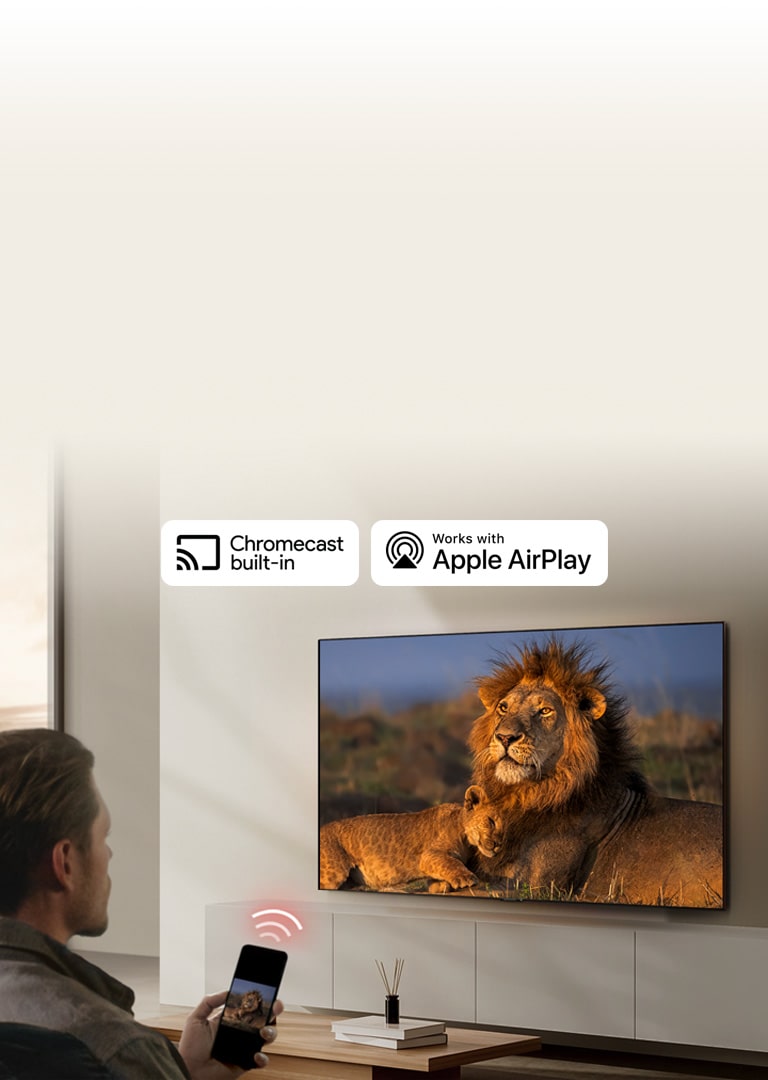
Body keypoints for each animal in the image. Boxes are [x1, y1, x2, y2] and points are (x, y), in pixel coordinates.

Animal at [319, 786, 505, 894]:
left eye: (503, 830)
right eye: (490, 821)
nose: (498, 846)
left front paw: (442, 885)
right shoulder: (429, 855)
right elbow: (451, 863)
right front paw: (466, 879)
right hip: (332, 874)